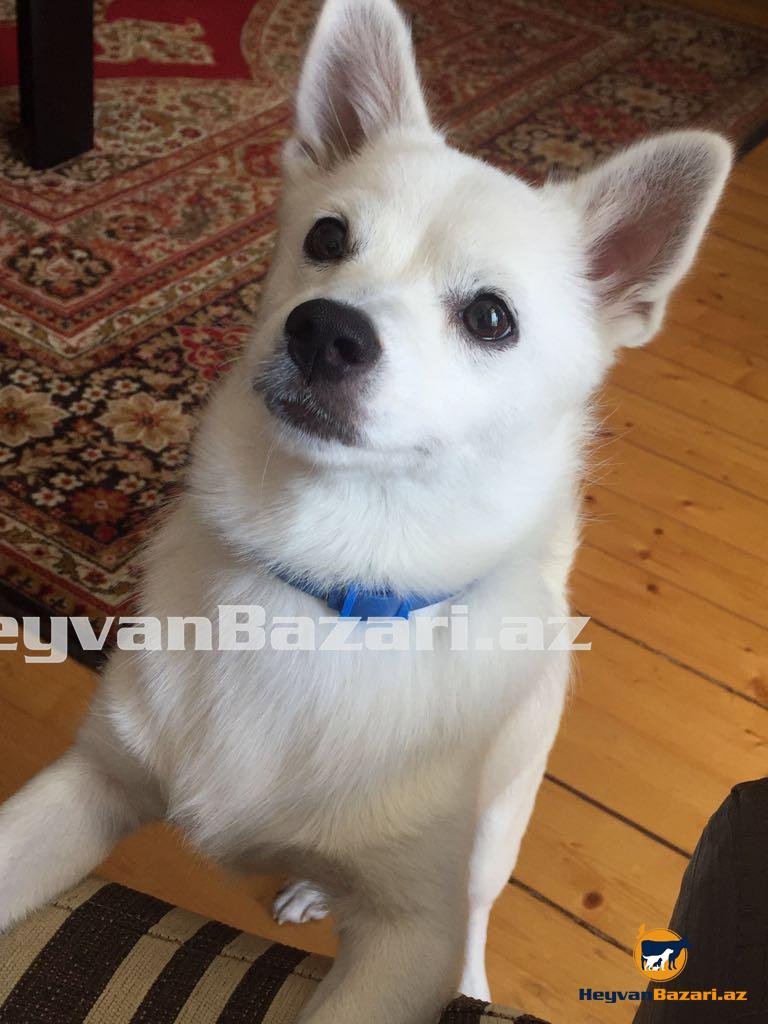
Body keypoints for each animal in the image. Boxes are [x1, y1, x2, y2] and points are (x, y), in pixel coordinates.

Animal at [0, 0, 730, 1020]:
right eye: (326, 239)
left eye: (492, 318)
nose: (325, 330)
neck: (327, 581)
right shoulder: (93, 783)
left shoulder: (404, 949)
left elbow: (422, 945)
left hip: (496, 832)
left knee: (476, 911)